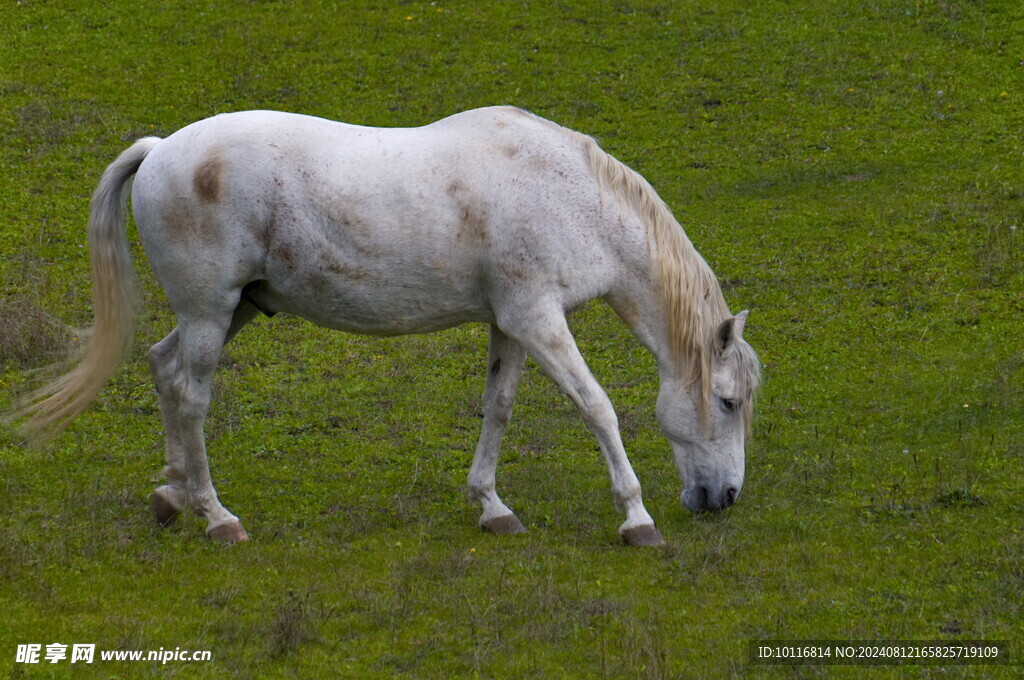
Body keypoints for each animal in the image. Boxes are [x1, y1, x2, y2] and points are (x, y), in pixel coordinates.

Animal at [18, 106, 761, 544]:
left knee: (163, 368)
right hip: (209, 315)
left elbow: (499, 407)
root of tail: (160, 148)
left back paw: (172, 495)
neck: (567, 193)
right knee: (192, 397)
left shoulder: (511, 323)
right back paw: (216, 515)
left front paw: (491, 506)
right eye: (727, 402)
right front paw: (636, 517)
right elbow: (598, 407)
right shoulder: (538, 319)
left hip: (233, 310)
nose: (725, 497)